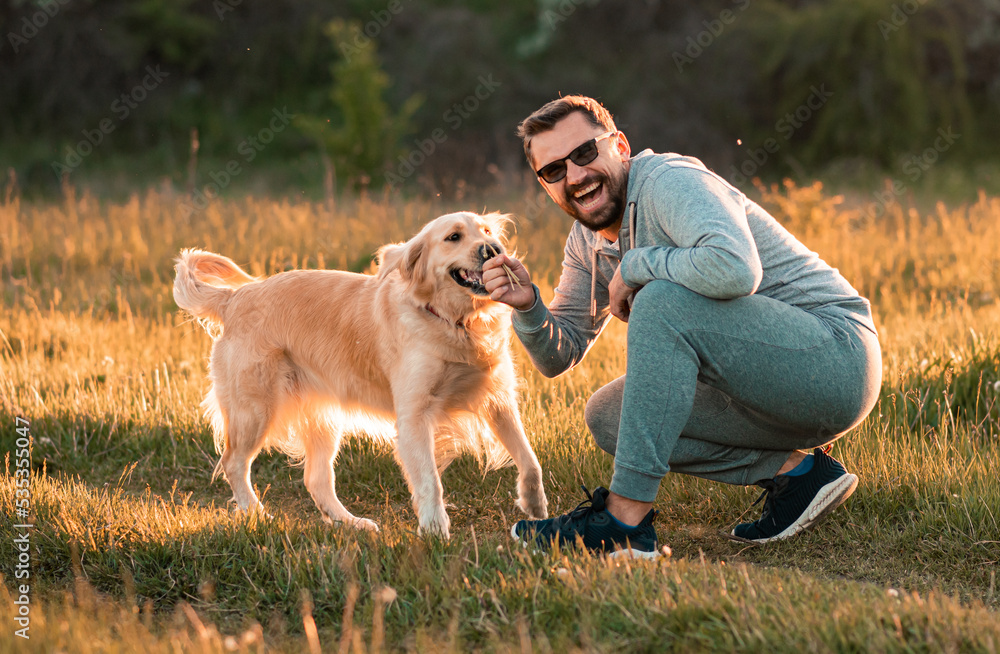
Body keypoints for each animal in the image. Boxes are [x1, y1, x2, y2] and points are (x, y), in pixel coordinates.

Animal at [172, 213, 548, 540]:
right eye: (453, 237)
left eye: (487, 232)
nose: (493, 250)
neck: (455, 322)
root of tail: (234, 298)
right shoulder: (414, 415)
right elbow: (430, 480)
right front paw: (435, 530)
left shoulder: (498, 401)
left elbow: (530, 460)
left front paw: (535, 506)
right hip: (255, 410)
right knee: (234, 463)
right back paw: (257, 514)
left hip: (322, 419)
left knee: (316, 480)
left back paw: (351, 523)